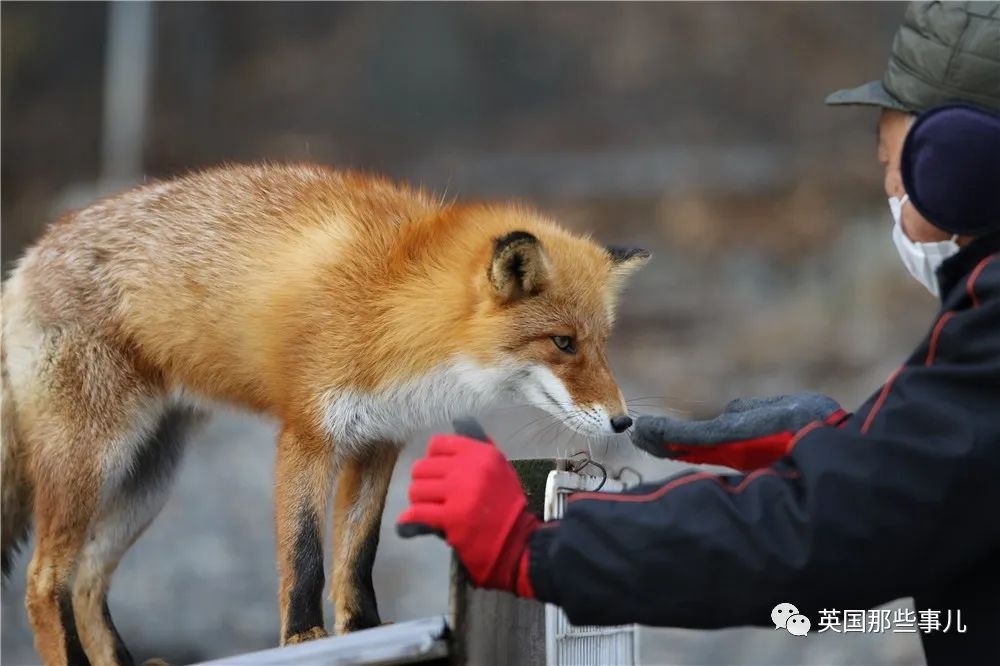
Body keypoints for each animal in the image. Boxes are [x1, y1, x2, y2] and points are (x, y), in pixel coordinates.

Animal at [0, 162, 648, 664]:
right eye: (563, 343)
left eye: (602, 344)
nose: (623, 422)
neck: (392, 303)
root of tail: (28, 259)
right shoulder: (308, 432)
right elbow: (306, 550)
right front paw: (304, 636)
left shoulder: (380, 440)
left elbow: (358, 552)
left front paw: (360, 630)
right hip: (93, 461)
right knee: (43, 582)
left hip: (149, 479)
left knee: (86, 582)